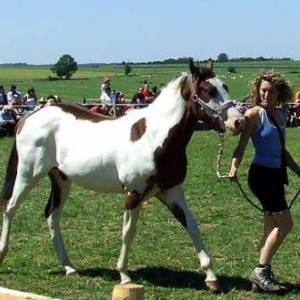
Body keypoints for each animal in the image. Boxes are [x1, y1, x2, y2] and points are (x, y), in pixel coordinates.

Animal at [0, 57, 244, 292]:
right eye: (208, 91)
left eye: (224, 86)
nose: (237, 122)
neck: (153, 138)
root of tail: (28, 118)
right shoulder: (133, 194)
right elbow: (128, 232)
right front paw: (124, 276)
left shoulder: (172, 192)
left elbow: (192, 227)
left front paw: (211, 277)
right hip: (28, 174)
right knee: (10, 207)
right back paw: (3, 254)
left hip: (61, 179)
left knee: (52, 215)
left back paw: (69, 267)